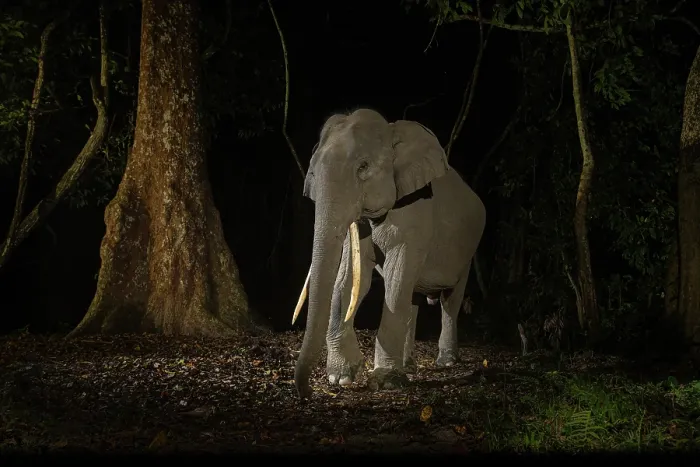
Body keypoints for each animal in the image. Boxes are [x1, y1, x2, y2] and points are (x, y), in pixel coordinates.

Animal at [292, 108, 486, 399]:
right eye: (313, 172)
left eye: (363, 167)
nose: (307, 392)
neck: (392, 132)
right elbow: (352, 279)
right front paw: (342, 376)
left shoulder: (415, 209)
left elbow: (396, 277)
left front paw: (385, 380)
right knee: (413, 299)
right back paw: (409, 366)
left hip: (468, 249)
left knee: (449, 300)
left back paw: (445, 361)